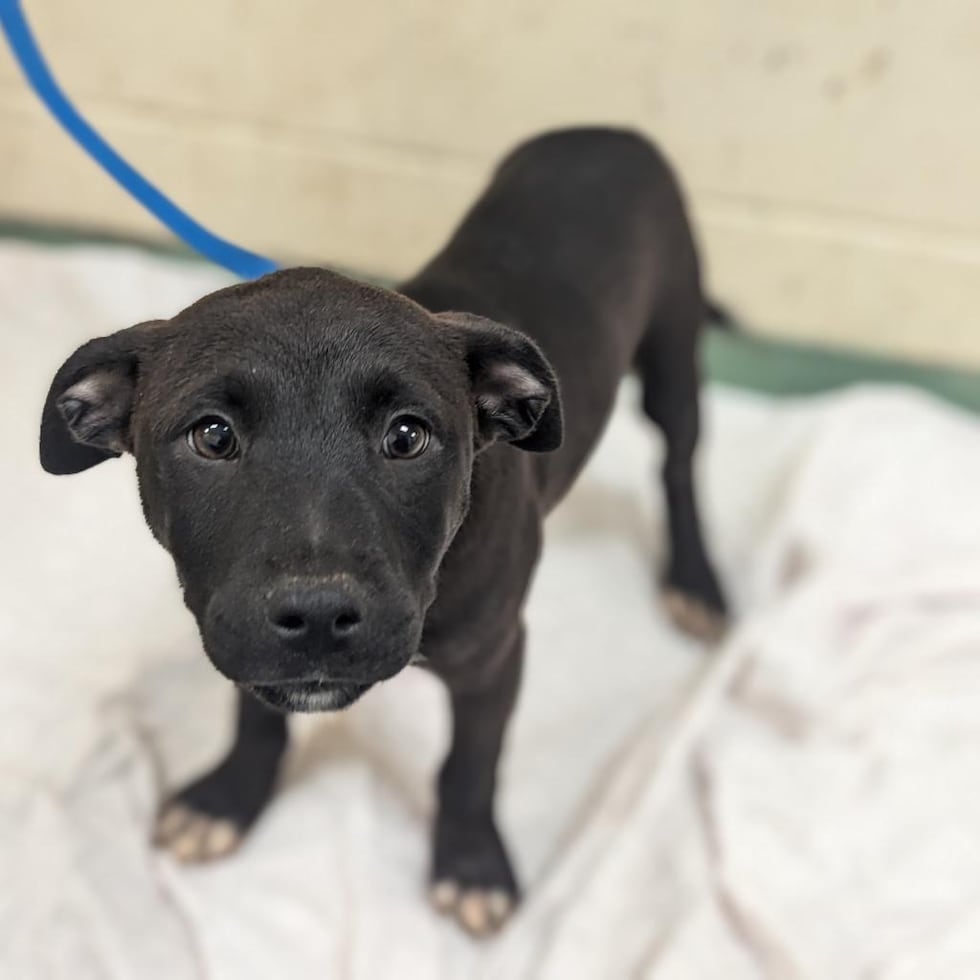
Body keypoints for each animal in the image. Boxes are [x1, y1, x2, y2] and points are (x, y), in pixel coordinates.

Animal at [38, 128, 728, 936]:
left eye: (407, 437)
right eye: (212, 435)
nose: (315, 616)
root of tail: (610, 131)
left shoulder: (496, 655)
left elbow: (470, 764)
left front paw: (471, 864)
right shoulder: (235, 626)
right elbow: (256, 715)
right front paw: (229, 798)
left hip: (674, 347)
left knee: (679, 463)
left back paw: (696, 582)